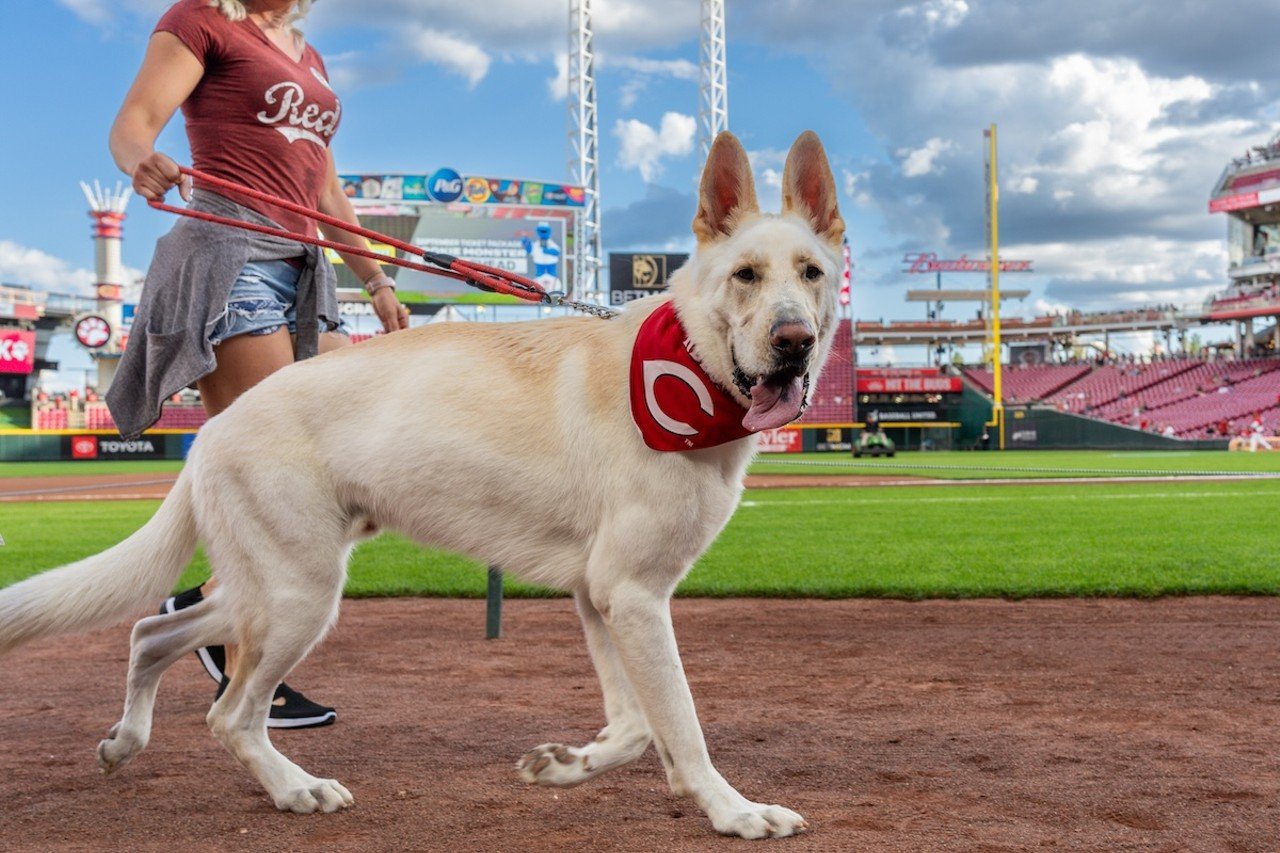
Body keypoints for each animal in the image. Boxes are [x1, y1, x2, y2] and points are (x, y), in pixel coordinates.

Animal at [0, 133, 839, 835]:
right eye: (745, 276)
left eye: (813, 273)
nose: (794, 342)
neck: (689, 366)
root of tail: (215, 426)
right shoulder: (631, 593)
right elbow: (682, 724)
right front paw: (734, 811)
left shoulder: (601, 594)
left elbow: (636, 728)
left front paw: (565, 765)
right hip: (299, 595)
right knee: (231, 714)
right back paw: (294, 787)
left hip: (268, 589)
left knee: (152, 632)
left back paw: (125, 742)